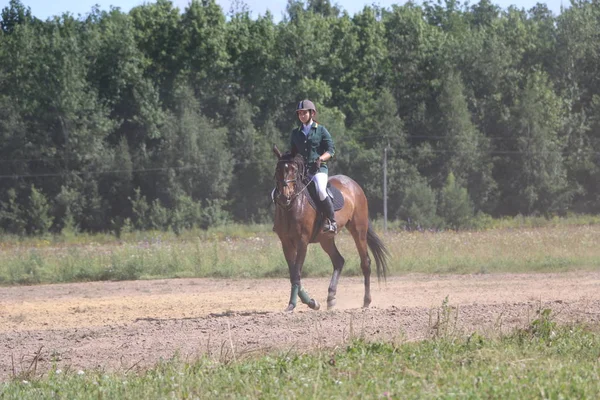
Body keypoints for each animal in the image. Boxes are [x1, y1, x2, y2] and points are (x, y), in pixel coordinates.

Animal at [272, 145, 390, 310]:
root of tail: (354, 184)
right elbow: (293, 273)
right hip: (325, 239)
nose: (284, 197)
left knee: (365, 262)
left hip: (358, 230)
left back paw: (366, 301)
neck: (293, 206)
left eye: (294, 170)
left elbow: (297, 272)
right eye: (278, 169)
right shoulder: (286, 243)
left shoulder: (302, 241)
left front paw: (296, 304)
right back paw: (331, 298)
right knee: (338, 261)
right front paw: (311, 302)